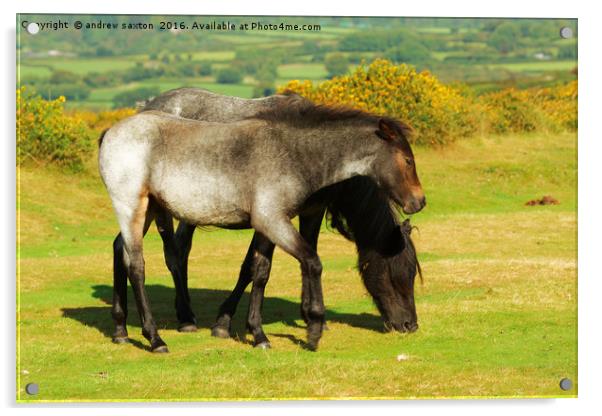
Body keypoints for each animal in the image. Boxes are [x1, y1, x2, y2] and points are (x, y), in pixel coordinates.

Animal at [98, 92, 424, 352]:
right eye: (408, 160)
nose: (419, 201)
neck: (293, 152)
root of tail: (112, 131)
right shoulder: (272, 220)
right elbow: (310, 262)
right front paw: (313, 329)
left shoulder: (276, 224)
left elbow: (261, 270)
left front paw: (258, 333)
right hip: (134, 207)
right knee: (139, 265)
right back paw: (157, 337)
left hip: (150, 210)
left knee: (122, 250)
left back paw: (121, 330)